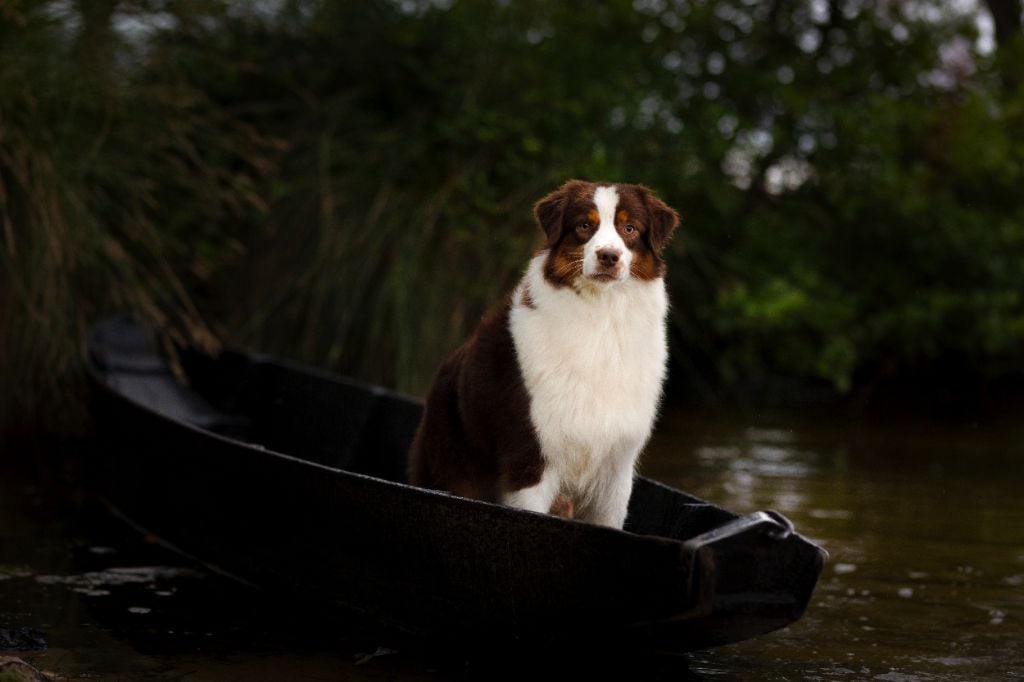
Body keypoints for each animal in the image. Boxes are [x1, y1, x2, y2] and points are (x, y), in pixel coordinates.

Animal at [407, 179, 679, 524]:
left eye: (629, 228)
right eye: (584, 226)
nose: (608, 256)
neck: (602, 318)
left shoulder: (616, 469)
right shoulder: (530, 459)